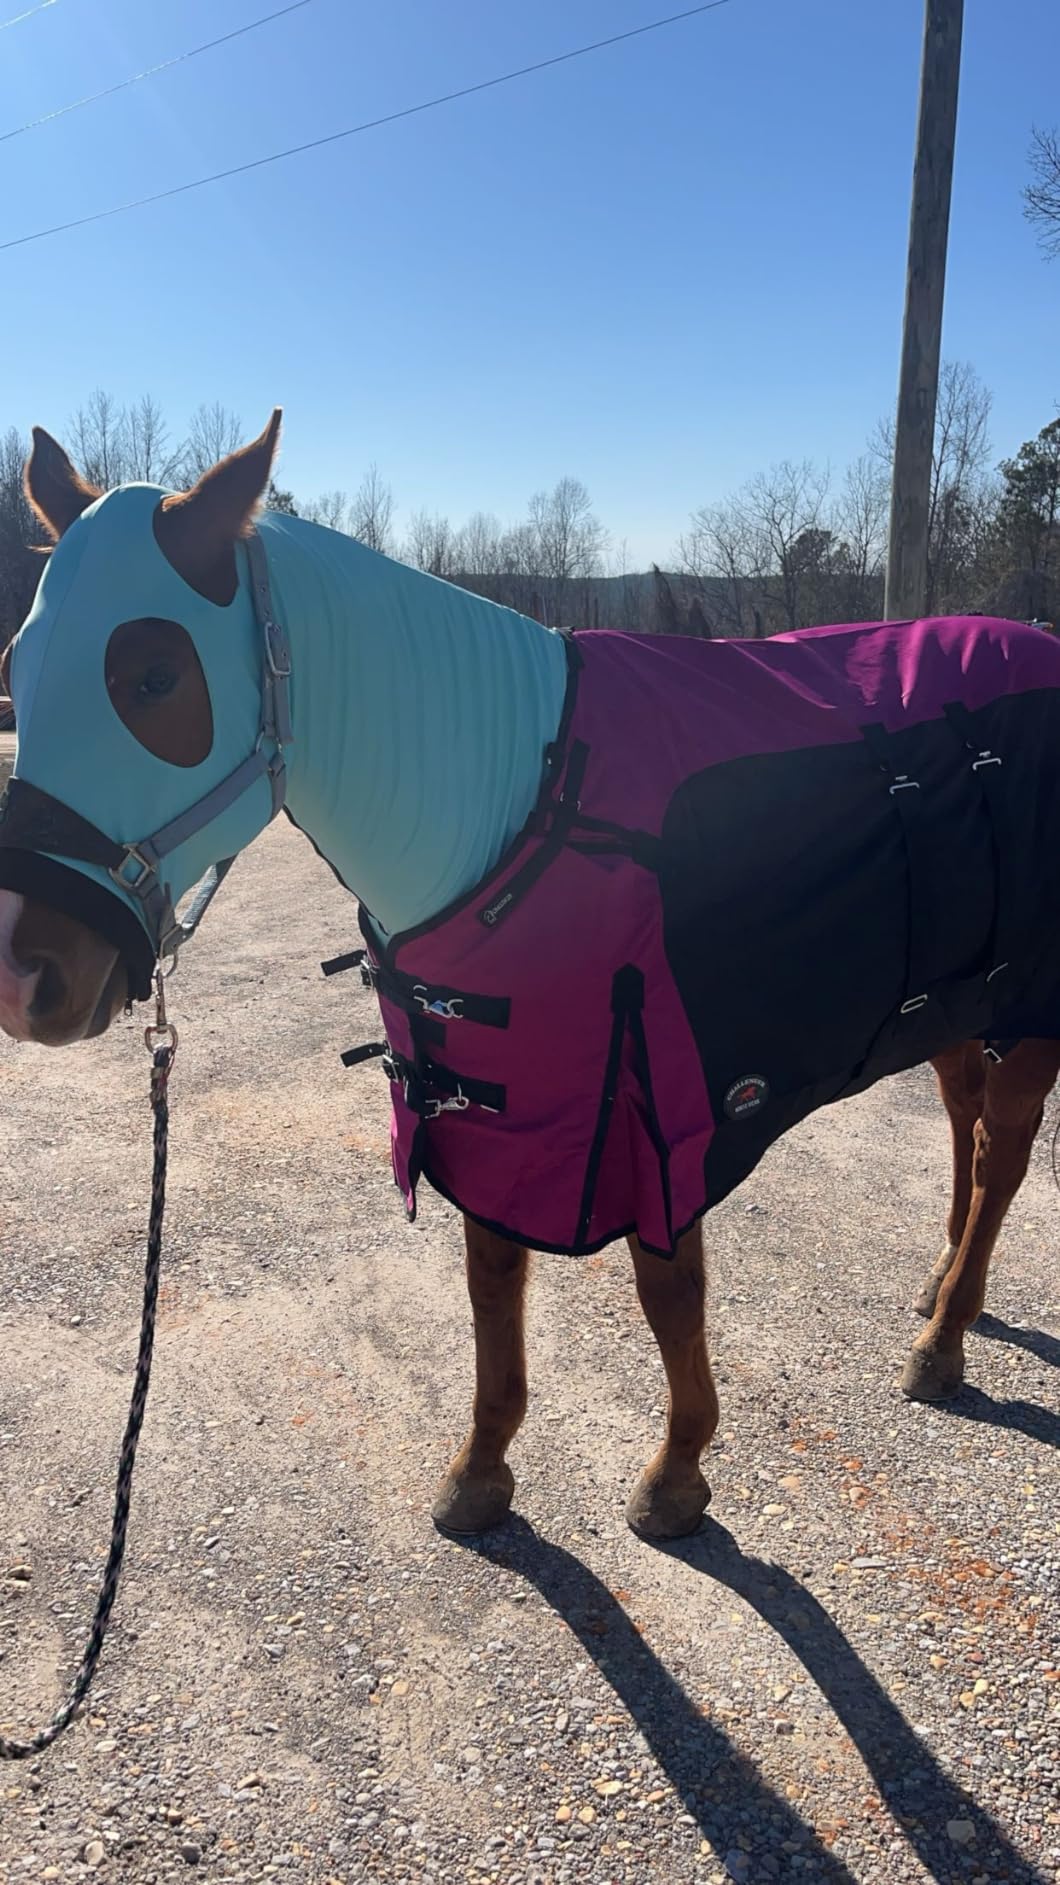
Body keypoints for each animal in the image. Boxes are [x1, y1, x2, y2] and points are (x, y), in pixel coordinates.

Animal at [1, 412, 1058, 1547]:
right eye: (19, 660)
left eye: (155, 675)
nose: (24, 973)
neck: (523, 800)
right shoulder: (495, 1112)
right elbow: (492, 1284)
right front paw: (481, 1468)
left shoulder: (656, 1110)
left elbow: (667, 1292)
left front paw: (677, 1471)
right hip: (953, 999)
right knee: (964, 1120)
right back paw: (942, 1285)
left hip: (1028, 1009)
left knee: (1001, 1152)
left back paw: (944, 1339)